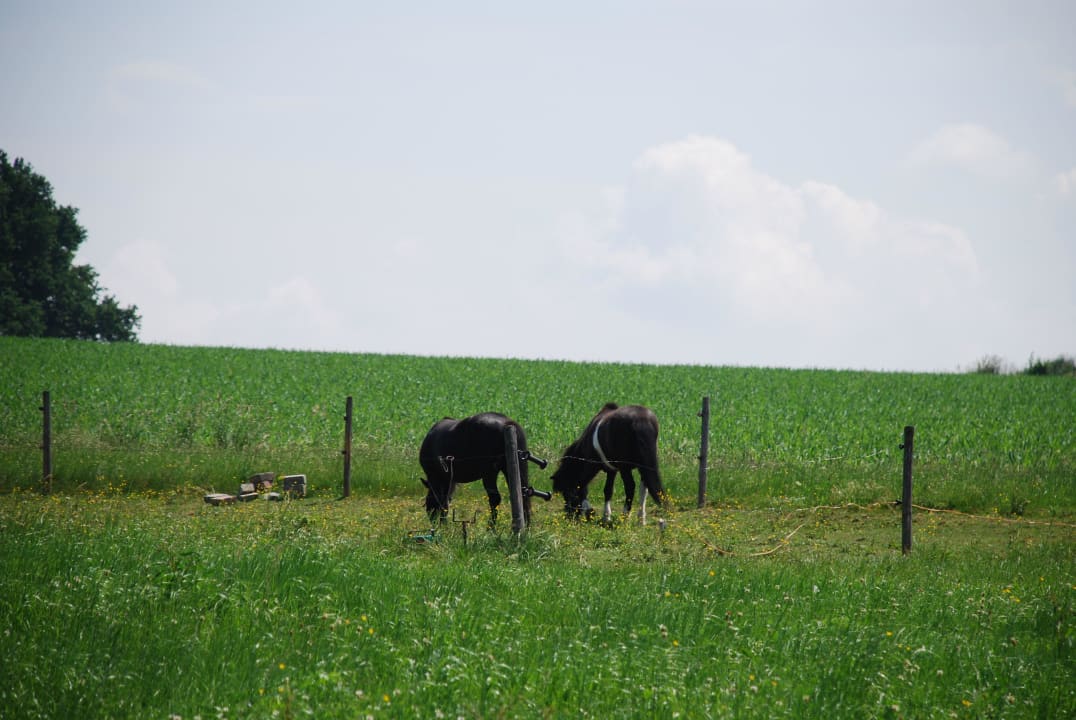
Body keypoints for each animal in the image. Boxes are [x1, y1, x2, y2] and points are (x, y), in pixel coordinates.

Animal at [419, 412, 549, 525]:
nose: (432, 520)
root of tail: (506, 422)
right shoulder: (450, 481)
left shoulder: (444, 479)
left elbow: (444, 502)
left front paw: (444, 526)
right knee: (521, 496)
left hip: (489, 473)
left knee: (495, 498)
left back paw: (491, 527)